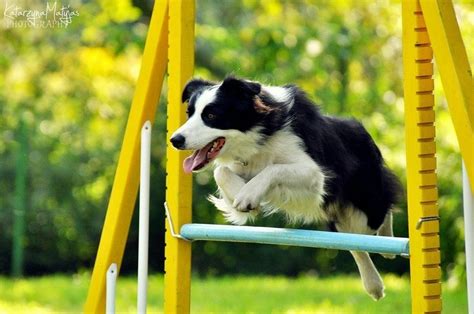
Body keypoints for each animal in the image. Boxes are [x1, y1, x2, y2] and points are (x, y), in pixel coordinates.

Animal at [169, 76, 400, 300]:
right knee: (354, 243)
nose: (175, 140)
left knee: (381, 212)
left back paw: (389, 244)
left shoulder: (315, 174)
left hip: (366, 200)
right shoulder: (242, 165)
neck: (262, 131)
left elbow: (274, 168)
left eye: (211, 115)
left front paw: (247, 196)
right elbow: (221, 172)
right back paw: (374, 285)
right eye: (189, 113)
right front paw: (241, 198)